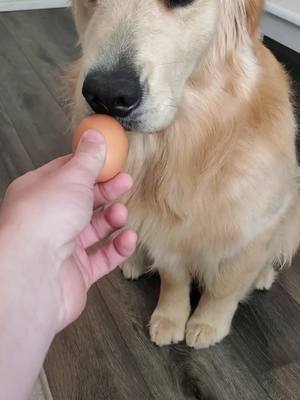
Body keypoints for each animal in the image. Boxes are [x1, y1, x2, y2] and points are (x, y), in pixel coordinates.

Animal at [68, 0, 300, 348]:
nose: (106, 96)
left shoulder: (256, 225)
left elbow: (225, 287)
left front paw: (208, 323)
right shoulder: (163, 230)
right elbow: (174, 278)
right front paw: (171, 317)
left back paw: (262, 274)